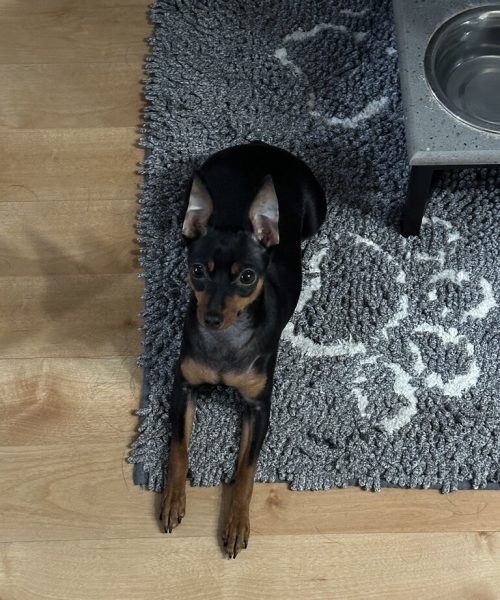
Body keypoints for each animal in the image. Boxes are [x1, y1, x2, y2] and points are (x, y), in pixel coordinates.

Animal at [158, 141, 326, 556]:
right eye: (197, 271)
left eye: (247, 277)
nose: (212, 317)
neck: (226, 341)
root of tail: (260, 147)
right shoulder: (183, 388)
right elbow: (178, 448)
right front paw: (172, 500)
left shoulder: (258, 407)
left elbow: (246, 470)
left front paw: (236, 523)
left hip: (317, 214)